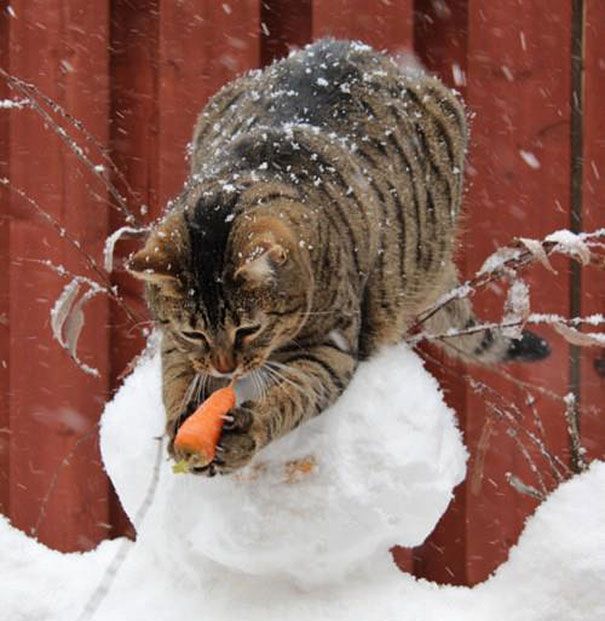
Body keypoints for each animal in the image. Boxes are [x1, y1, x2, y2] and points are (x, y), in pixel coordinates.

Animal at [127, 40, 548, 474]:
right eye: (194, 333)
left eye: (249, 329)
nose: (224, 368)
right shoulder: (175, 342)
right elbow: (176, 377)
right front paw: (182, 420)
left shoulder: (333, 349)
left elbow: (293, 394)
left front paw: (249, 428)